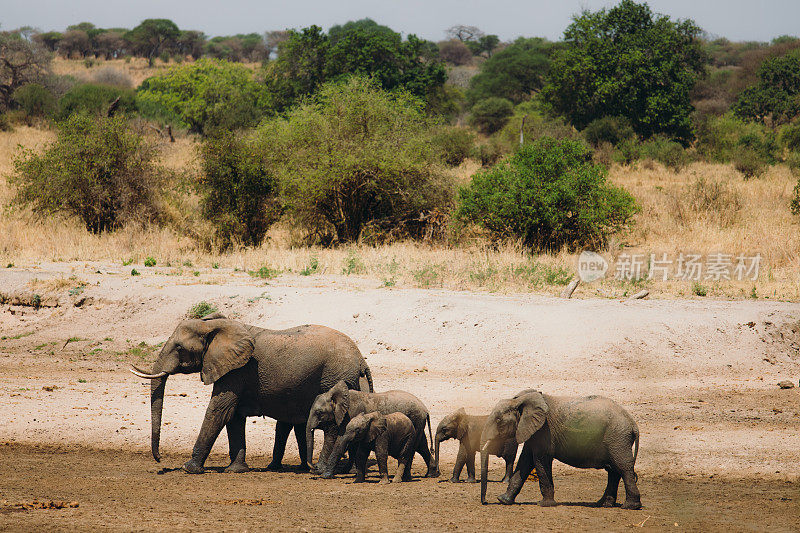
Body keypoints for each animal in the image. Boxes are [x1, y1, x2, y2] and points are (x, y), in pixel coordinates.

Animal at [130, 314, 374, 472]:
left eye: (179, 348)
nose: (159, 460)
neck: (215, 325)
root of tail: (361, 360)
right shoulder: (235, 369)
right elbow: (234, 416)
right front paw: (236, 469)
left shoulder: (237, 370)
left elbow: (219, 411)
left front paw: (189, 468)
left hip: (335, 375)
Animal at [478, 388, 640, 510]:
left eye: (499, 420)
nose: (485, 502)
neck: (519, 401)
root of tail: (633, 423)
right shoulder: (531, 430)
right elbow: (525, 462)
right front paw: (503, 500)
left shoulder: (544, 431)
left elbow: (540, 461)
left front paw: (544, 504)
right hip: (616, 439)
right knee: (613, 470)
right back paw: (603, 504)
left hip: (617, 437)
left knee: (623, 468)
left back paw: (630, 506)